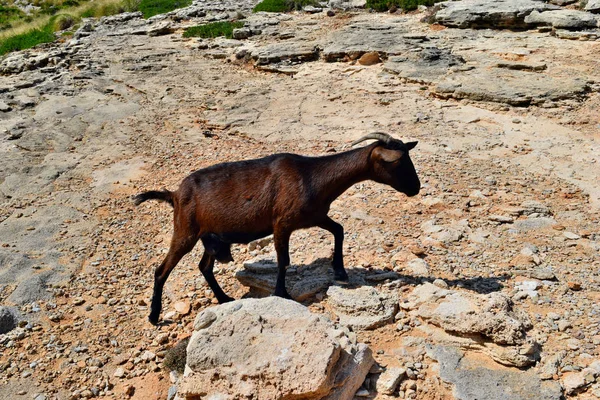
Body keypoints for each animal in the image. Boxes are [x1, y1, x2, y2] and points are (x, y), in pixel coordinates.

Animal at [134, 133, 420, 324]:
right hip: (185, 230)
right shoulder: (282, 224)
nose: (416, 188)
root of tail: (174, 194)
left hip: (209, 236)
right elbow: (284, 259)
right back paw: (154, 315)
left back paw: (224, 299)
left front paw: (339, 271)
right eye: (397, 163)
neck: (312, 177)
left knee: (204, 266)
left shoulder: (314, 216)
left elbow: (338, 230)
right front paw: (282, 293)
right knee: (162, 270)